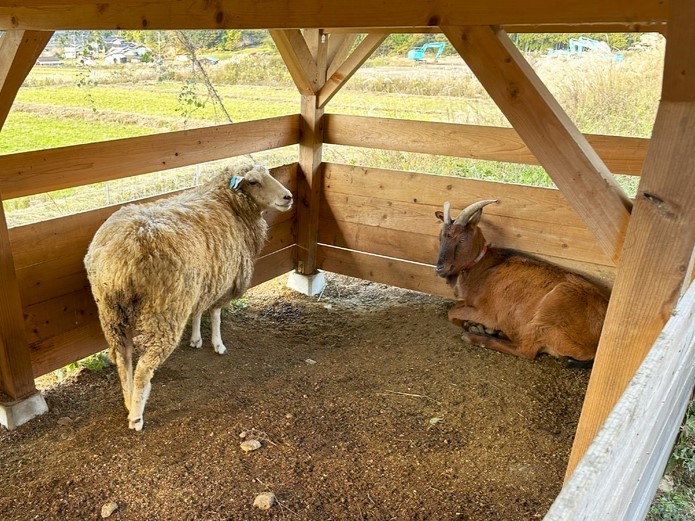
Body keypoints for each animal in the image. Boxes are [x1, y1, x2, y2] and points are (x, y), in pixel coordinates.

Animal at [85, 162, 294, 430]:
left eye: (268, 174)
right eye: (253, 181)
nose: (288, 197)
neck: (227, 203)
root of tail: (122, 256)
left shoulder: (203, 281)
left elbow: (198, 311)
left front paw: (196, 339)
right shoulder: (222, 278)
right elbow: (215, 314)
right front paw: (218, 344)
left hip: (112, 313)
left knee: (123, 360)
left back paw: (129, 400)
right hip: (165, 312)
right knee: (143, 369)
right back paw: (137, 416)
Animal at [436, 199, 608, 366]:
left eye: (461, 239)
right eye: (441, 237)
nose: (439, 268)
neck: (485, 267)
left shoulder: (487, 313)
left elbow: (452, 312)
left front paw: (474, 326)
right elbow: (456, 306)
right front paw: (476, 326)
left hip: (548, 313)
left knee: (525, 350)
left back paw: (475, 336)